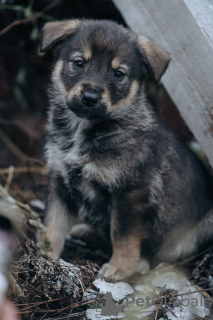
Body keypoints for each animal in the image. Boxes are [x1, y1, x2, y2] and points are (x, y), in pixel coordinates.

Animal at [40, 19, 213, 280]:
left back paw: (141, 263)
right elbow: (54, 223)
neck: (84, 129)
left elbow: (122, 234)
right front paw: (45, 253)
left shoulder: (130, 192)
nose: (89, 97)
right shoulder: (60, 179)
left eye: (118, 74)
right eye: (79, 63)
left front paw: (120, 267)